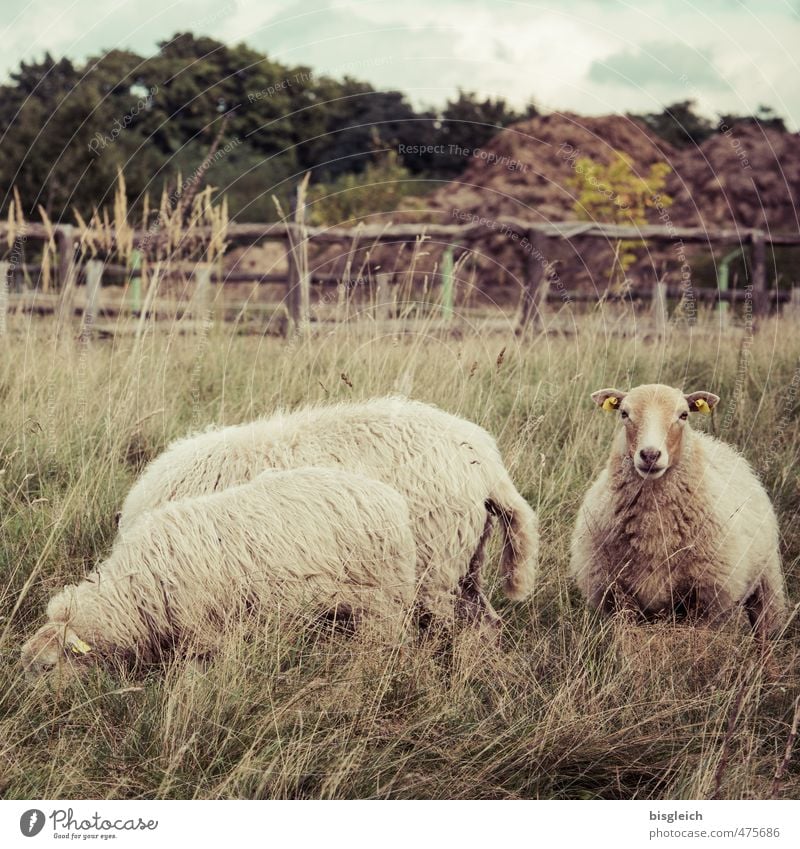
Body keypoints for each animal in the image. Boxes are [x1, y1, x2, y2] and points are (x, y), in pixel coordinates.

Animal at [568, 384, 788, 636]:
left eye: (683, 415)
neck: (654, 530)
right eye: (624, 413)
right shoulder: (616, 594)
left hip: (767, 583)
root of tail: (716, 443)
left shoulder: (705, 599)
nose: (650, 455)